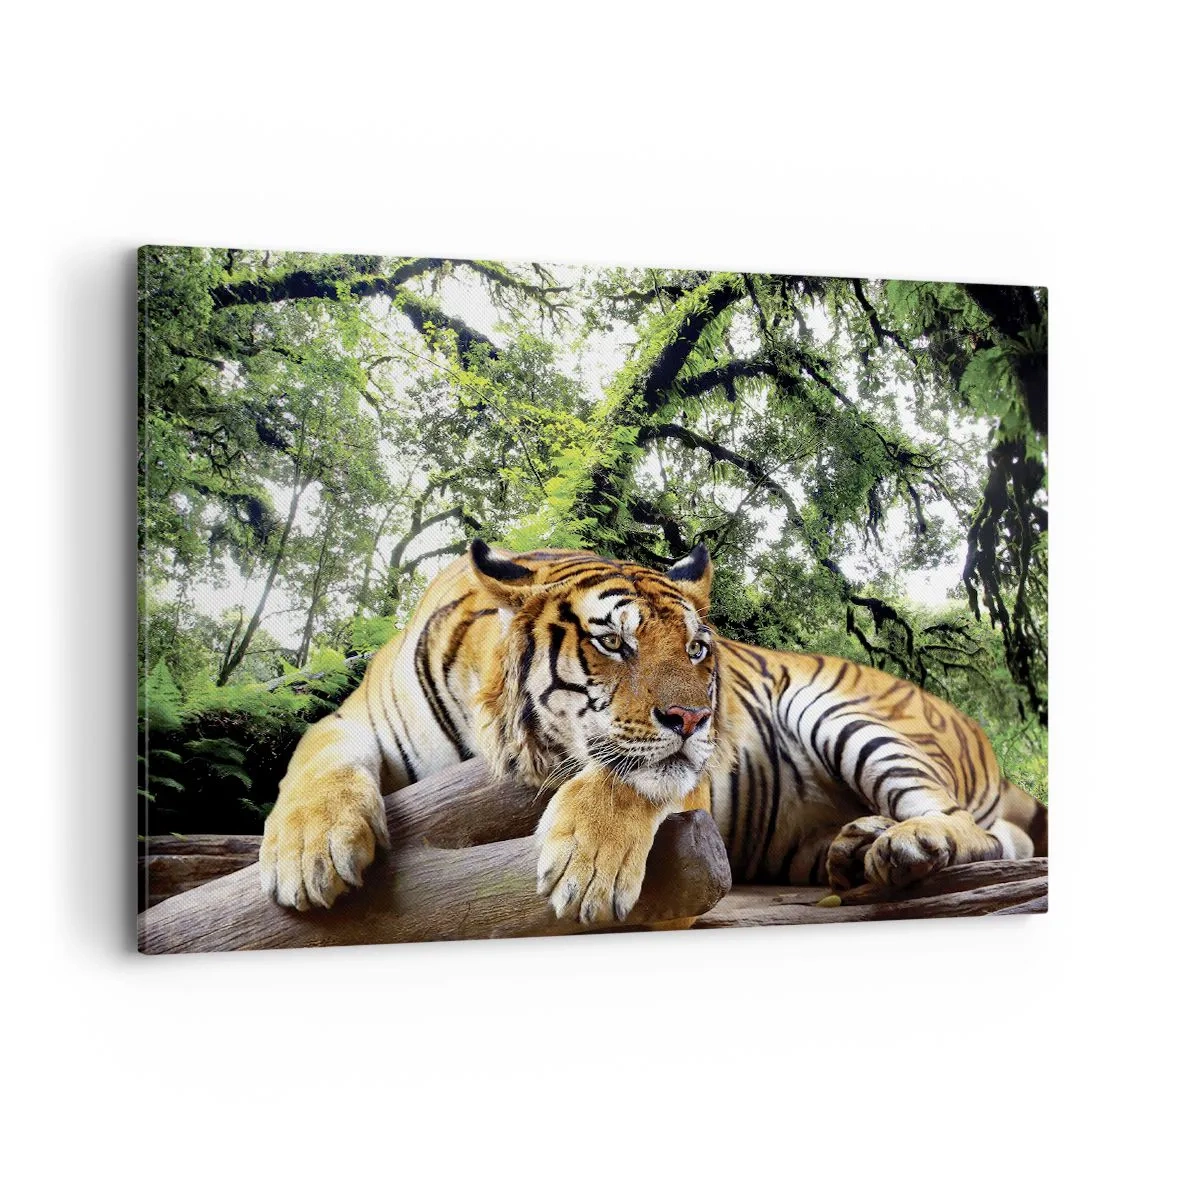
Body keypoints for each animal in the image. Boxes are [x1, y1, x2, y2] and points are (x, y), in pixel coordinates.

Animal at [260, 540, 1047, 921]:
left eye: (697, 649)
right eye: (615, 643)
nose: (698, 719)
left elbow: (630, 776)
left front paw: (588, 868)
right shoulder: (352, 719)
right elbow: (315, 759)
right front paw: (307, 853)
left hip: (845, 713)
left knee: (974, 830)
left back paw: (906, 844)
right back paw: (856, 848)